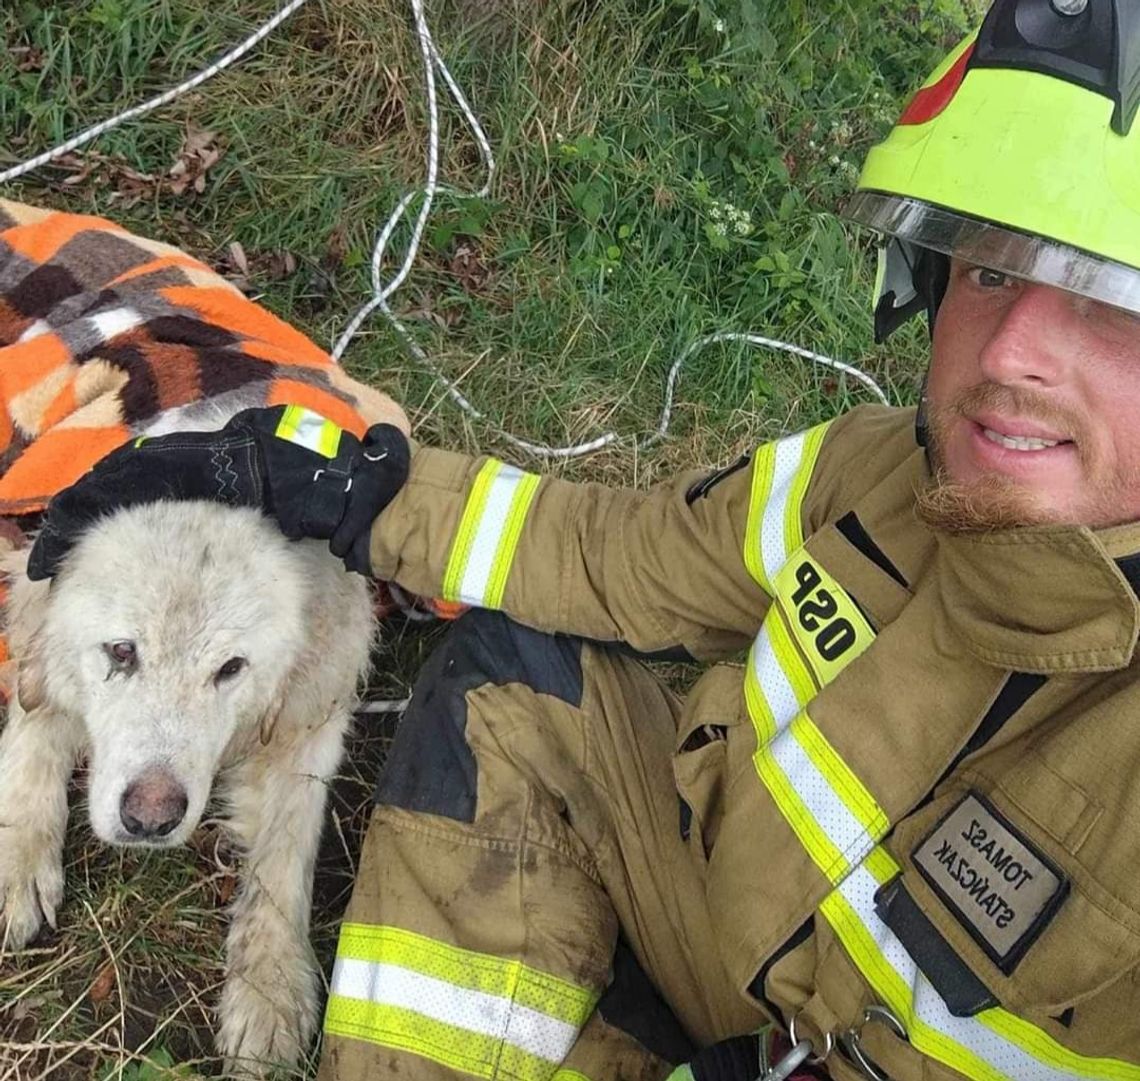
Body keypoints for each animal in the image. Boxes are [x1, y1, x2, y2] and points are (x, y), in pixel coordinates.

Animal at [0, 497, 373, 1071]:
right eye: (122, 652)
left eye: (231, 668)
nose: (150, 819)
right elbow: (33, 724)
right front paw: (16, 855)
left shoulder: (311, 712)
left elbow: (285, 850)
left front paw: (270, 987)